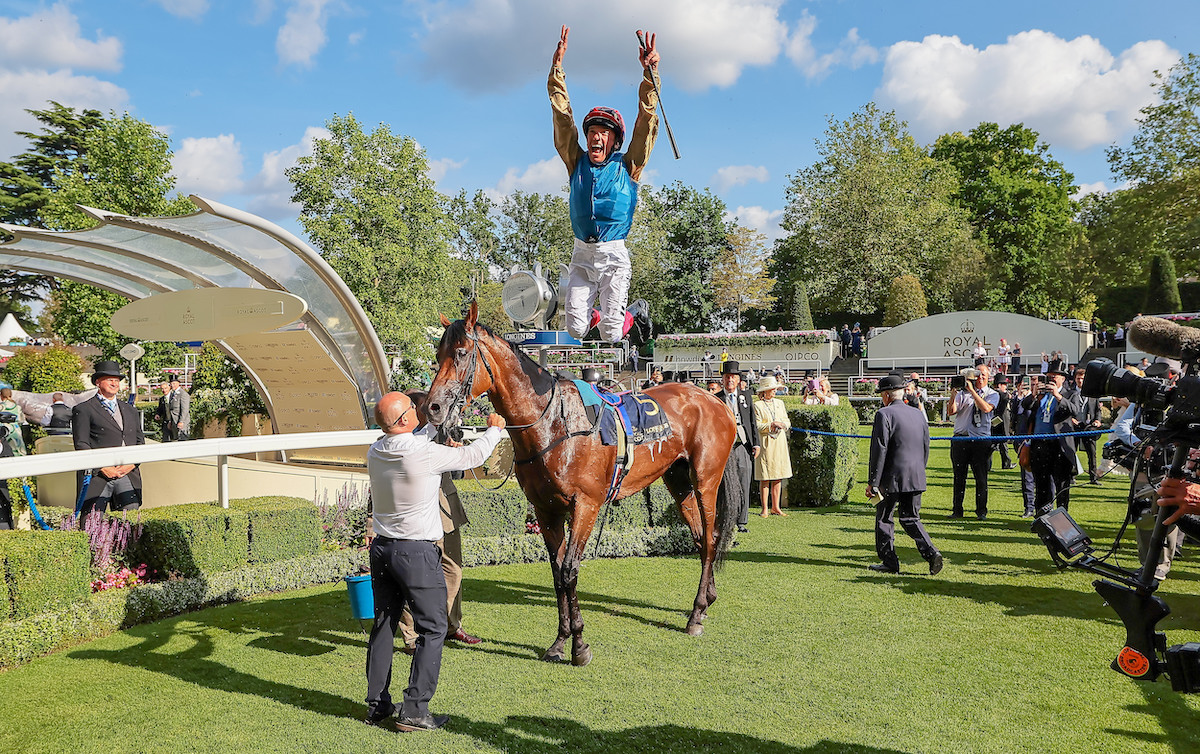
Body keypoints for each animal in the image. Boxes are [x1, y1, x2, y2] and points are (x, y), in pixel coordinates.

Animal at [427, 300, 734, 667]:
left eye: (460, 353)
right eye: (437, 353)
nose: (433, 407)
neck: (553, 424)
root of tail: (714, 399)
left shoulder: (585, 506)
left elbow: (570, 570)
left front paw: (579, 645)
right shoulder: (546, 511)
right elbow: (557, 572)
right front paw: (560, 641)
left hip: (705, 480)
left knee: (711, 539)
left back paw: (696, 613)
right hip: (679, 481)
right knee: (702, 539)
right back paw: (705, 603)